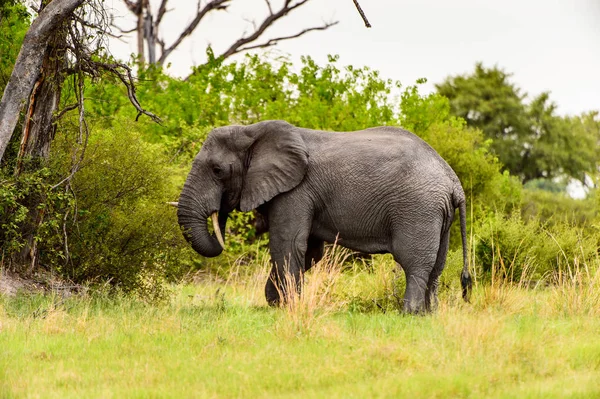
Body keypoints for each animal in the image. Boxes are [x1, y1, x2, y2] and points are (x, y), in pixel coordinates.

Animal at [176, 120, 472, 314]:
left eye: (217, 171)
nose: (220, 215)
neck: (252, 130)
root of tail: (453, 181)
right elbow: (309, 253)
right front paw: (276, 303)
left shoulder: (295, 190)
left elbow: (287, 244)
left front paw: (287, 307)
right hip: (438, 214)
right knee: (437, 266)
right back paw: (429, 315)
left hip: (418, 208)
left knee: (414, 263)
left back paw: (408, 314)